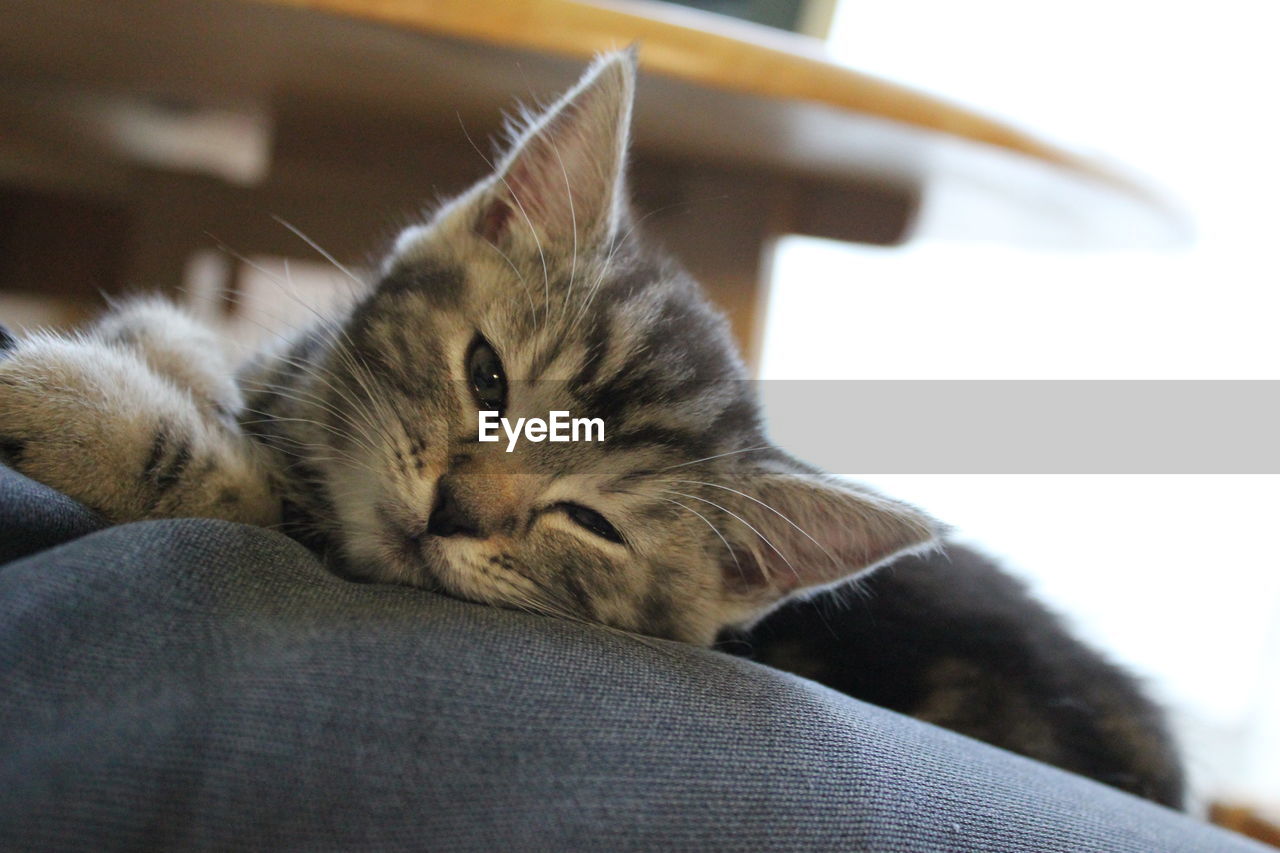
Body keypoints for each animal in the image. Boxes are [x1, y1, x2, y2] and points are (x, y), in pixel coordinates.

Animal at [0, 51, 1177, 804]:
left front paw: (60, 399)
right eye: (485, 375)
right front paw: (167, 345)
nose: (453, 511)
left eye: (593, 525)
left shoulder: (312, 526)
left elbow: (232, 482)